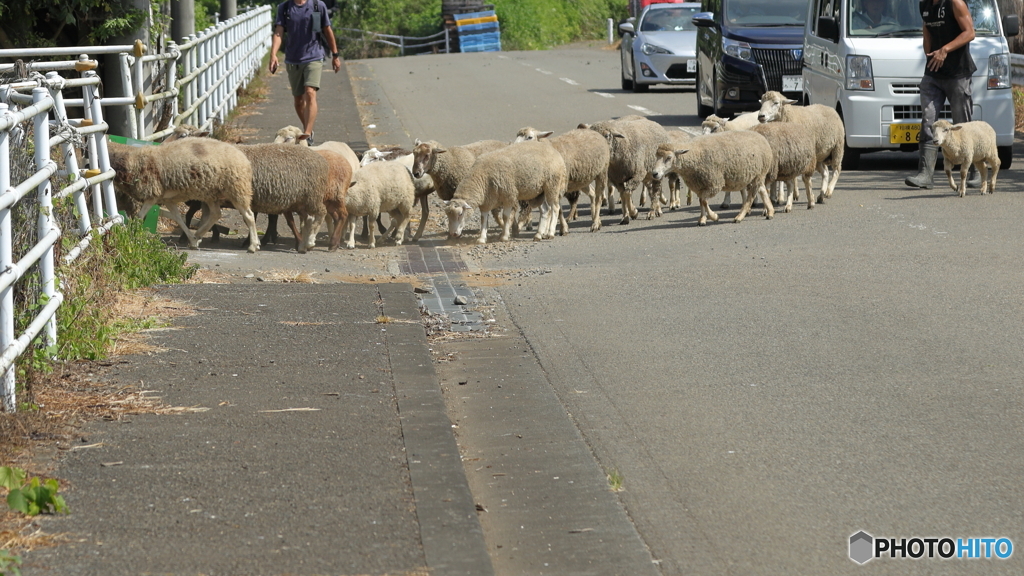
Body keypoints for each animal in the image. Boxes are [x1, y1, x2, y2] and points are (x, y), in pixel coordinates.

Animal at [107, 136, 260, 251]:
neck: (131, 160)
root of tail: (244, 159)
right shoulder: (167, 199)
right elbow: (178, 219)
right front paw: (192, 240)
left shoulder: (152, 194)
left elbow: (139, 217)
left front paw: (129, 236)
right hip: (211, 193)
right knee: (216, 214)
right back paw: (198, 235)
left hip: (236, 189)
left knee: (249, 215)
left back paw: (253, 245)